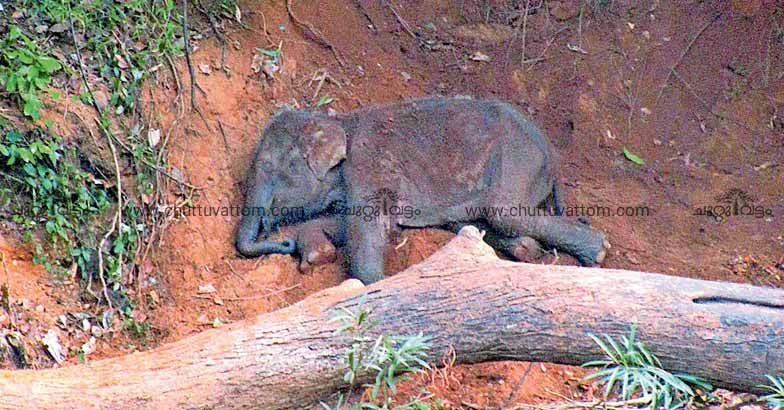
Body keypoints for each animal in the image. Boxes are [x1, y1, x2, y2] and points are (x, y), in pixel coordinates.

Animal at [235, 96, 610, 284]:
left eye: (270, 168)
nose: (281, 241)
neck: (338, 122)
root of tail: (552, 154)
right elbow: (355, 223)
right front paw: (317, 254)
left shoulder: (368, 165)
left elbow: (368, 226)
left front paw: (373, 284)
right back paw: (526, 249)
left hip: (515, 161)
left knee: (505, 214)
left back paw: (598, 253)